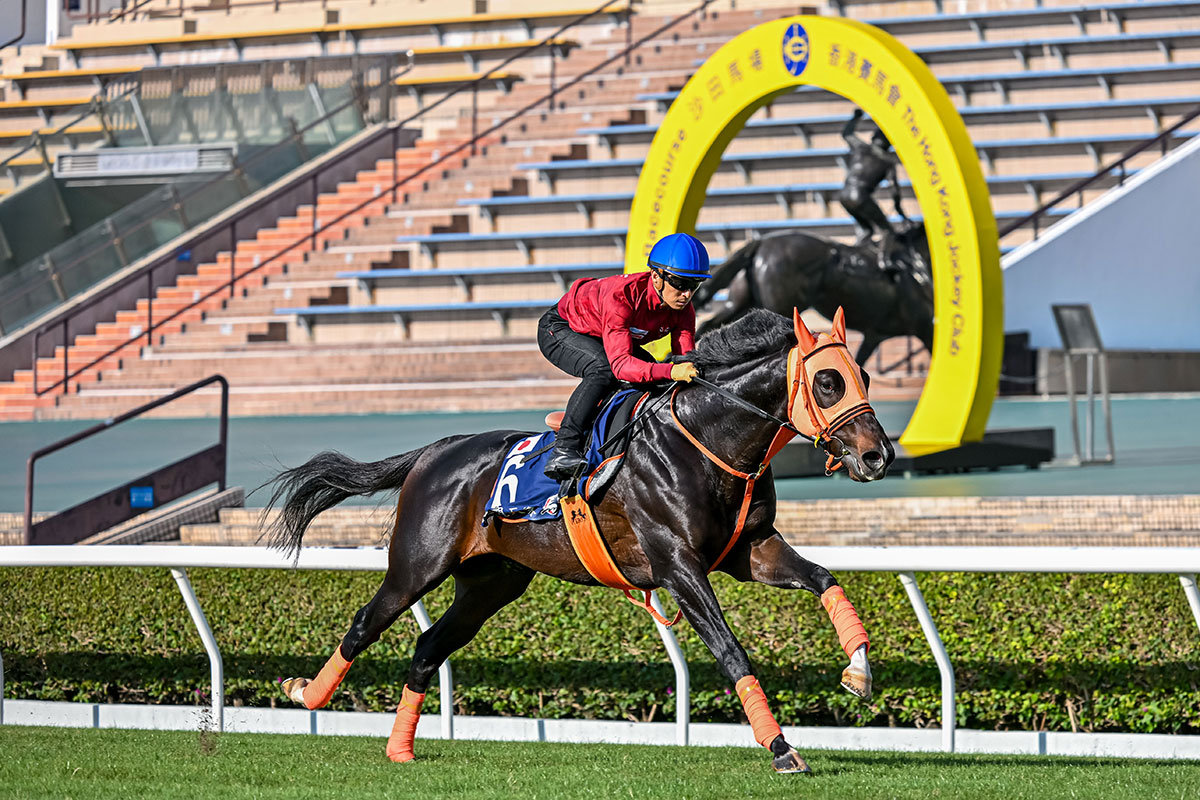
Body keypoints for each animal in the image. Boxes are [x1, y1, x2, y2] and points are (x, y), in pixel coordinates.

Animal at [265, 304, 902, 767]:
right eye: (827, 381)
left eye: (865, 375)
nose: (878, 456)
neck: (707, 440)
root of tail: (434, 451)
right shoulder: (678, 566)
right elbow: (730, 649)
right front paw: (781, 748)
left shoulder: (750, 551)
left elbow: (824, 579)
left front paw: (859, 672)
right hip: (417, 566)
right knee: (365, 624)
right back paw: (306, 695)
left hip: (491, 584)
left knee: (427, 648)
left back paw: (400, 750)